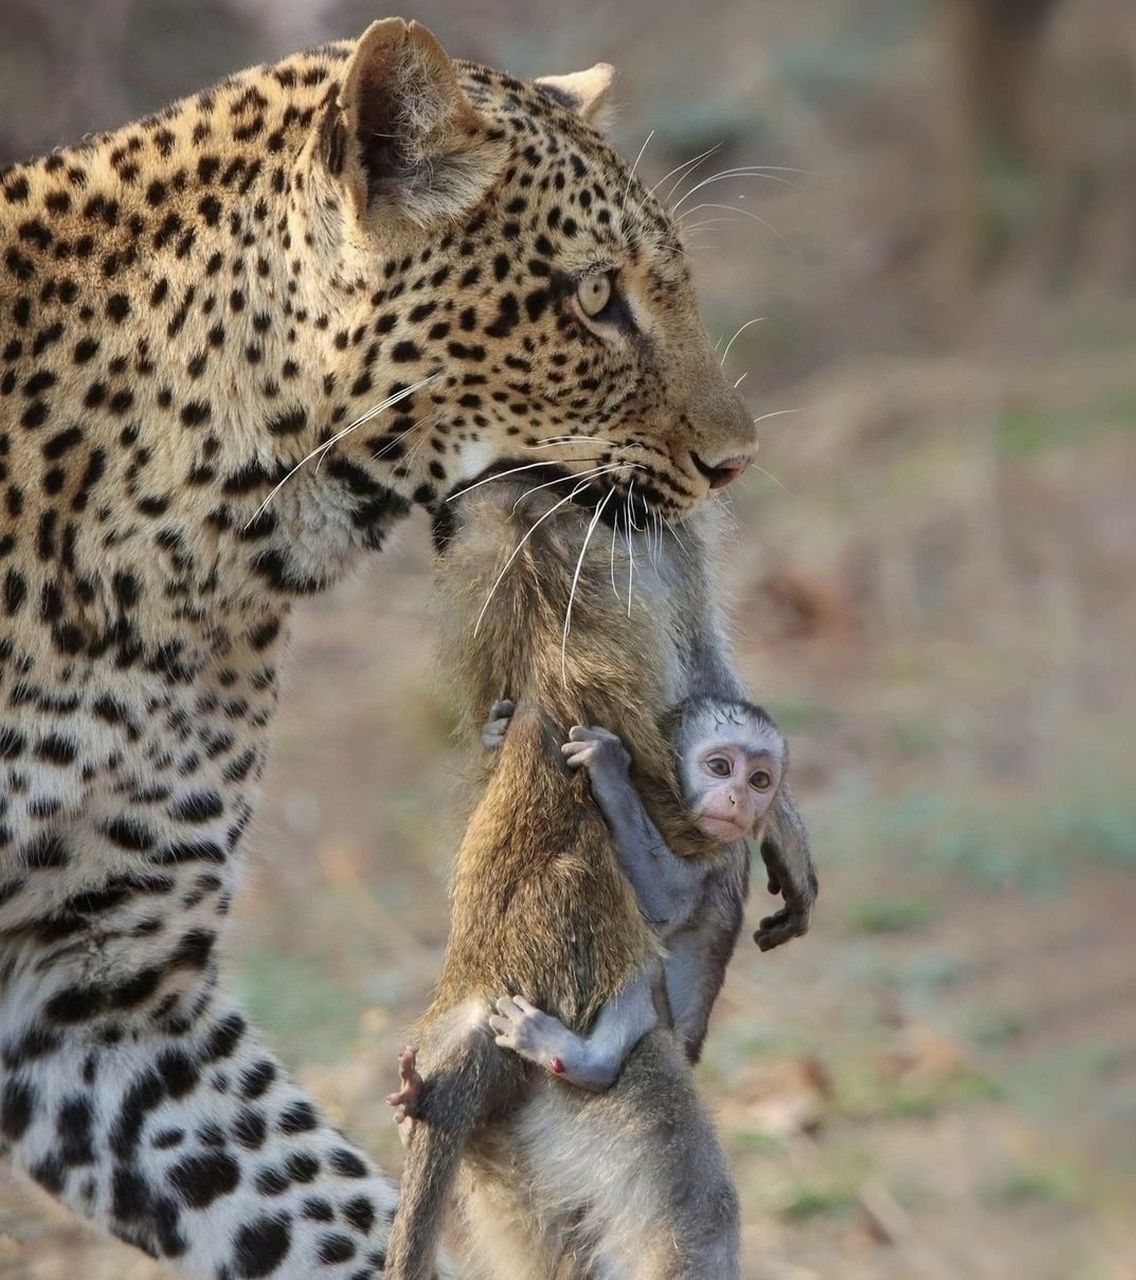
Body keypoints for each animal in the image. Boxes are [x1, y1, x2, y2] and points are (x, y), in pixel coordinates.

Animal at [483, 696, 782, 1095]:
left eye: (759, 780)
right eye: (720, 767)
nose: (740, 799)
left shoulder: (719, 851)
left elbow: (662, 906)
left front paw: (609, 772)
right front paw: (495, 729)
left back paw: (584, 1061)